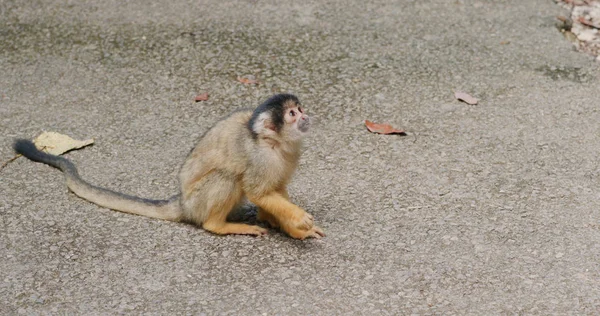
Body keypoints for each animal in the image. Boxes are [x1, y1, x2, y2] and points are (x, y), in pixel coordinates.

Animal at [12, 94, 324, 239]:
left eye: (300, 109)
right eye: (292, 114)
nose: (305, 116)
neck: (274, 142)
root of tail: (183, 203)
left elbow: (275, 190)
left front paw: (297, 230)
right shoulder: (261, 156)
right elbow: (259, 191)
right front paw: (300, 220)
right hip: (199, 203)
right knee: (229, 177)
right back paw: (220, 226)